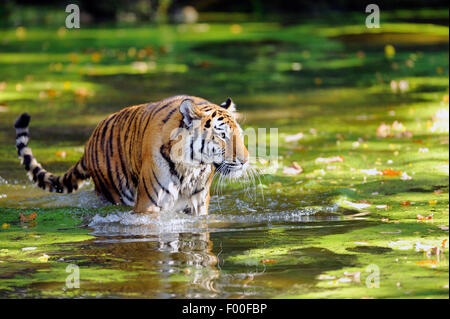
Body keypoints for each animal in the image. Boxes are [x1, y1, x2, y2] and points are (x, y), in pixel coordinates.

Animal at [14, 95, 251, 215]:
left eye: (239, 134)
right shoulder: (149, 205)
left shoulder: (198, 205)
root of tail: (88, 144)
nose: (245, 161)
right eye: (222, 135)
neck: (191, 167)